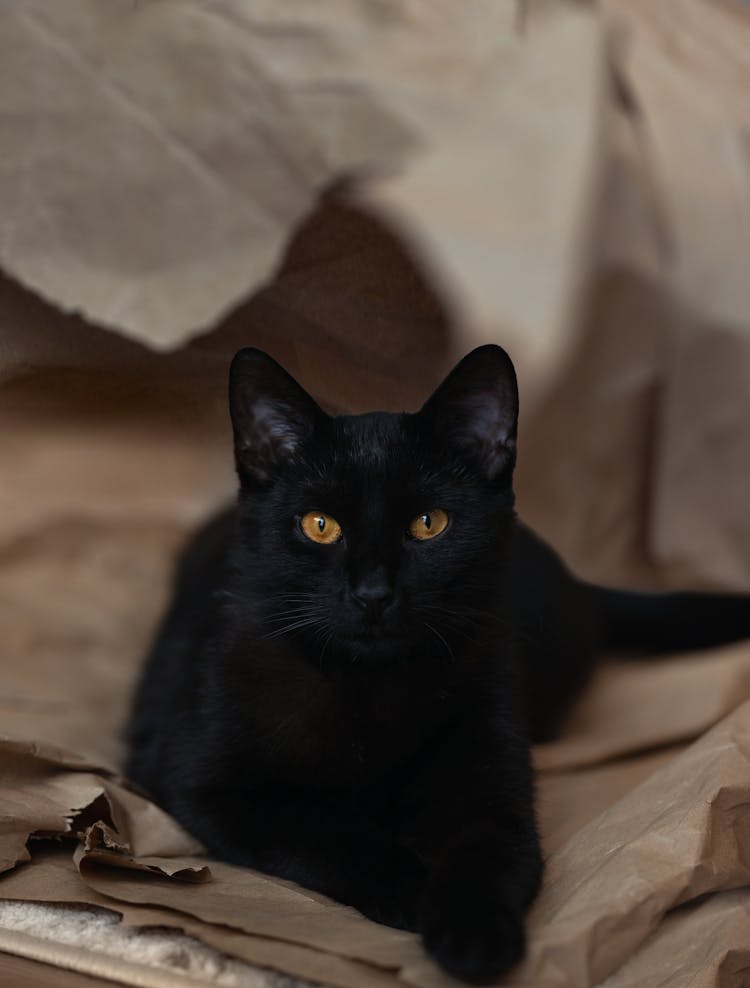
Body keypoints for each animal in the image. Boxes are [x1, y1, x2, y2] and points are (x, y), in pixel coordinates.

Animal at [128, 346, 750, 980]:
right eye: (320, 526)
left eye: (429, 524)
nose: (373, 593)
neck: (369, 689)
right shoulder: (200, 784)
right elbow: (321, 828)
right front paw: (407, 885)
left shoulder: (490, 779)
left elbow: (489, 852)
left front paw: (474, 937)